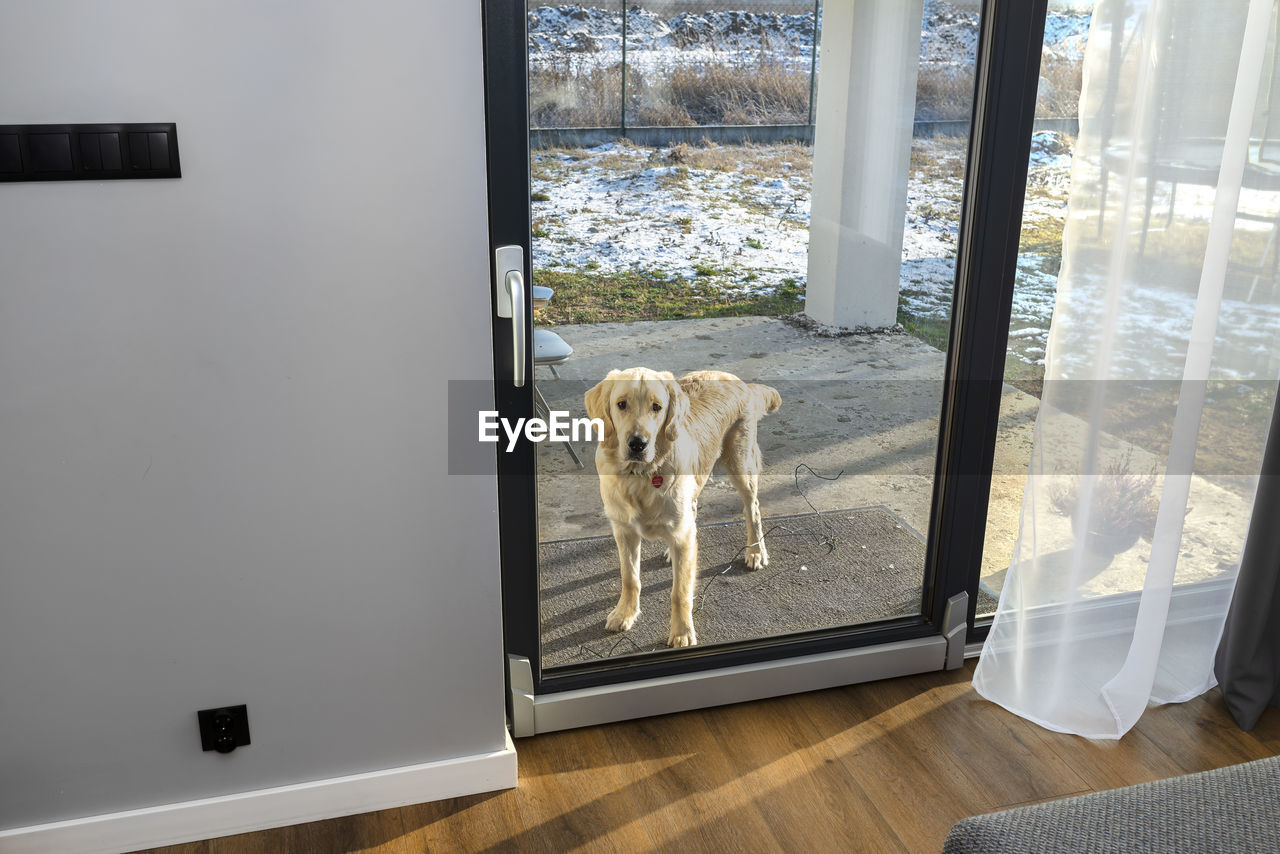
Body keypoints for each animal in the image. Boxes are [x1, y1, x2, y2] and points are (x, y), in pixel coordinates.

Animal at [583, 368, 778, 647]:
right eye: (621, 404)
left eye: (657, 407)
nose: (637, 443)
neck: (640, 476)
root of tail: (733, 376)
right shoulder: (624, 531)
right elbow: (629, 578)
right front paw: (625, 613)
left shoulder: (682, 536)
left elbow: (680, 591)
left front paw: (682, 631)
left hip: (741, 465)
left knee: (753, 509)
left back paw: (755, 551)